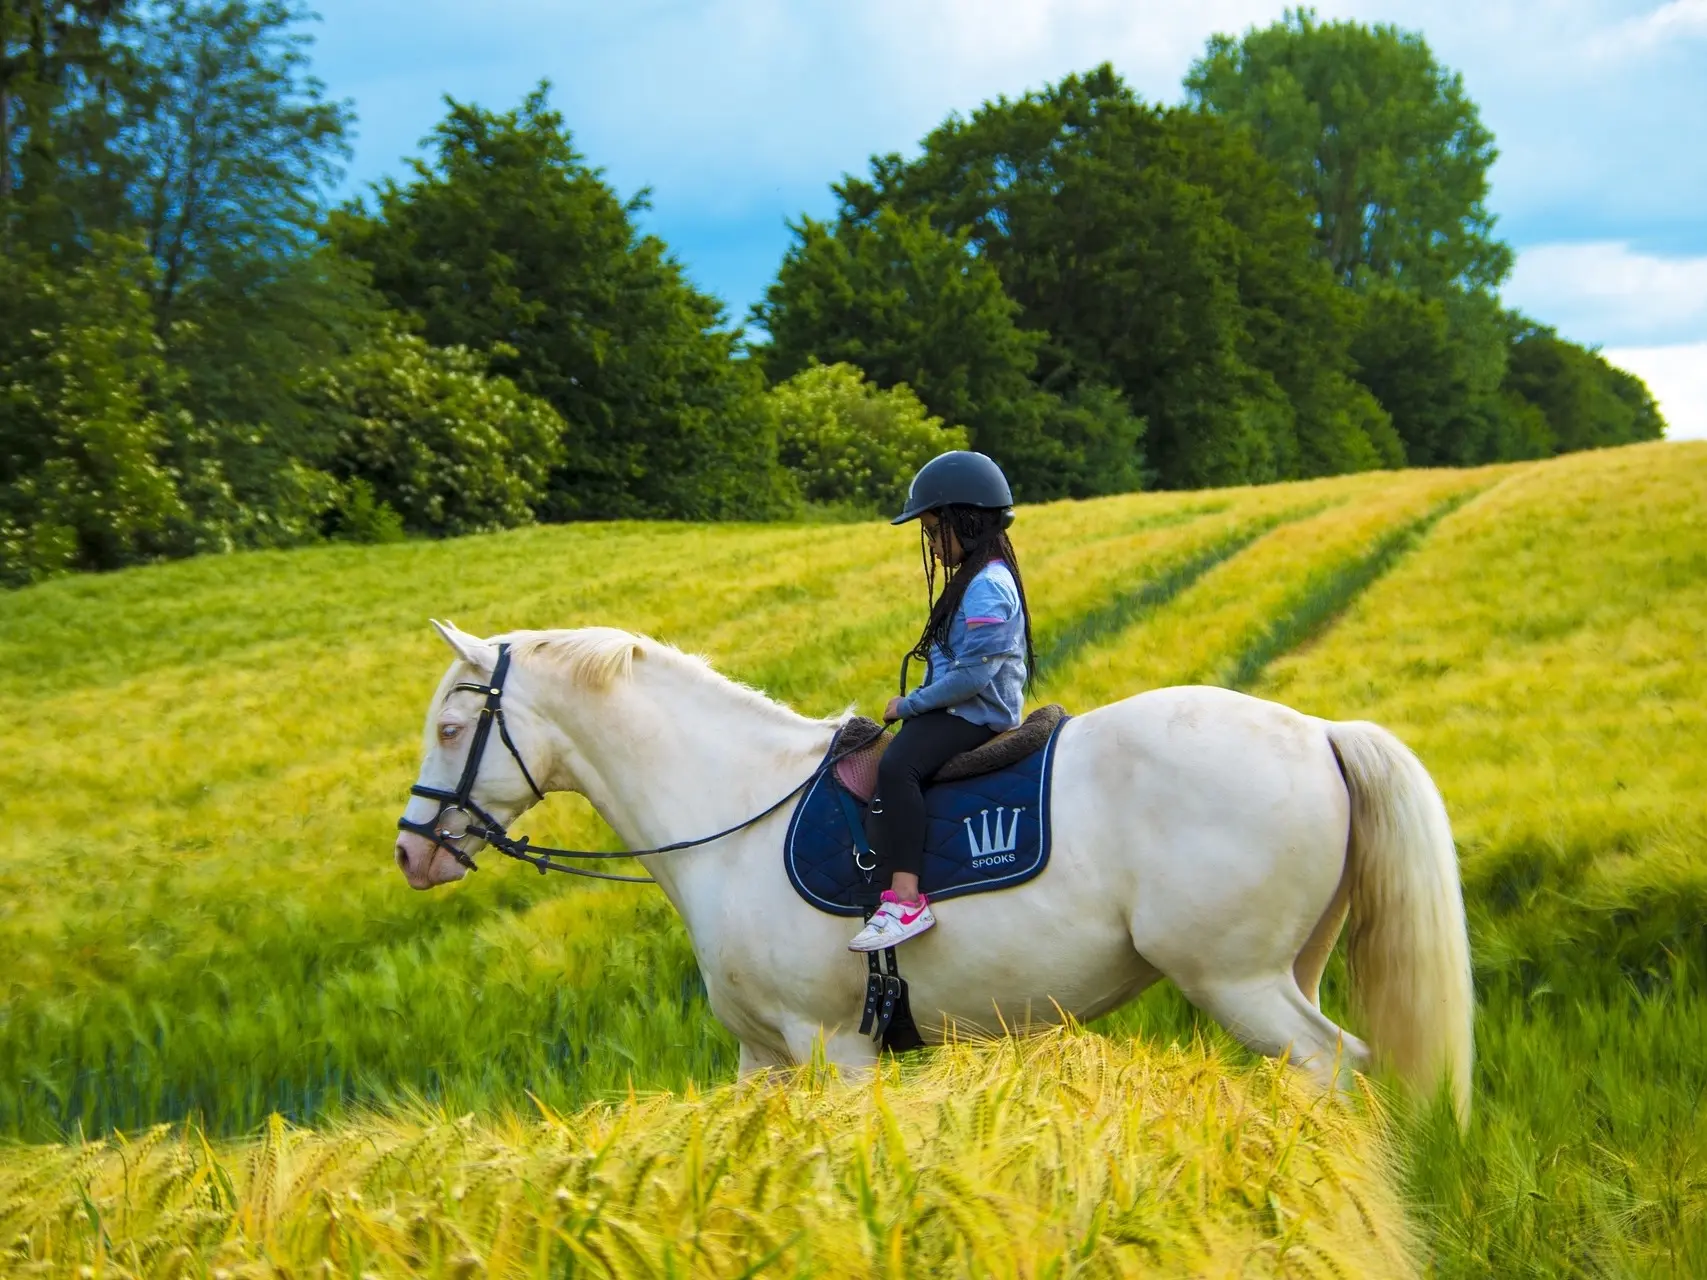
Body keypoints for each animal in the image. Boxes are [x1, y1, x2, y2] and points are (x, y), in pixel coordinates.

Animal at [392, 621, 1474, 1119]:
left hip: (1237, 981)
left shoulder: (831, 1048)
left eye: (449, 726)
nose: (411, 851)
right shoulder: (762, 1057)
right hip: (1287, 967)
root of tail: (1321, 730)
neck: (733, 810)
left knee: (1331, 1063)